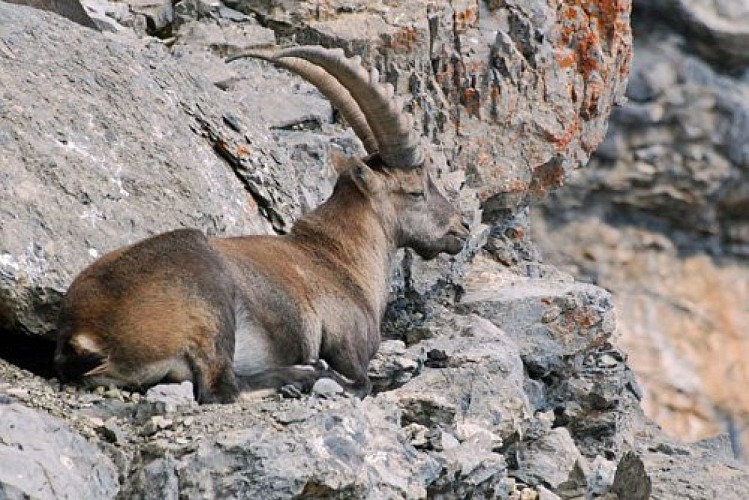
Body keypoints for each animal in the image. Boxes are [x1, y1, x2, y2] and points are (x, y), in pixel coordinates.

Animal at [54, 46, 469, 403]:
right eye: (416, 191)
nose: (461, 228)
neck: (339, 257)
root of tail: (84, 331)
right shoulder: (347, 343)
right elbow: (362, 382)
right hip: (209, 303)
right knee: (221, 389)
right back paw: (303, 375)